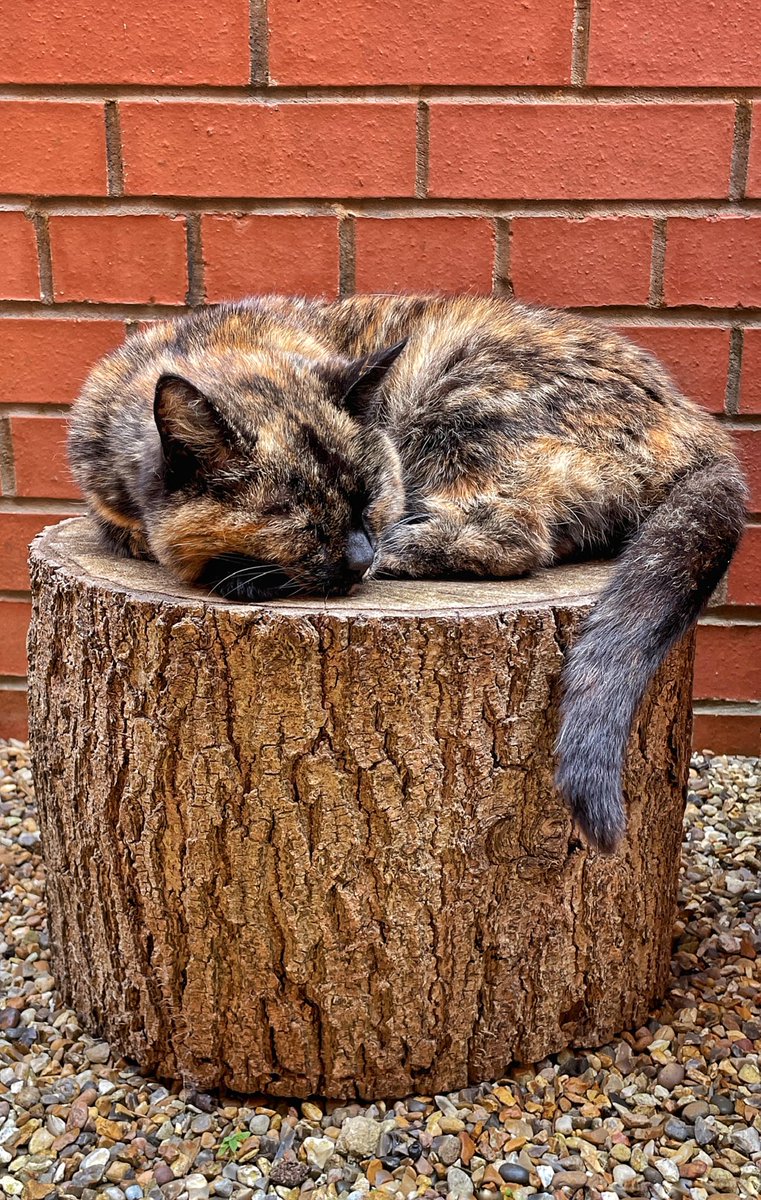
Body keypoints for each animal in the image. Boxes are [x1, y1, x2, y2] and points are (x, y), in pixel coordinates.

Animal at [69, 294, 748, 849]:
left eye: (371, 495)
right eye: (304, 520)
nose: (360, 555)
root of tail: (695, 424)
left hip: (455, 391)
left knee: (515, 539)